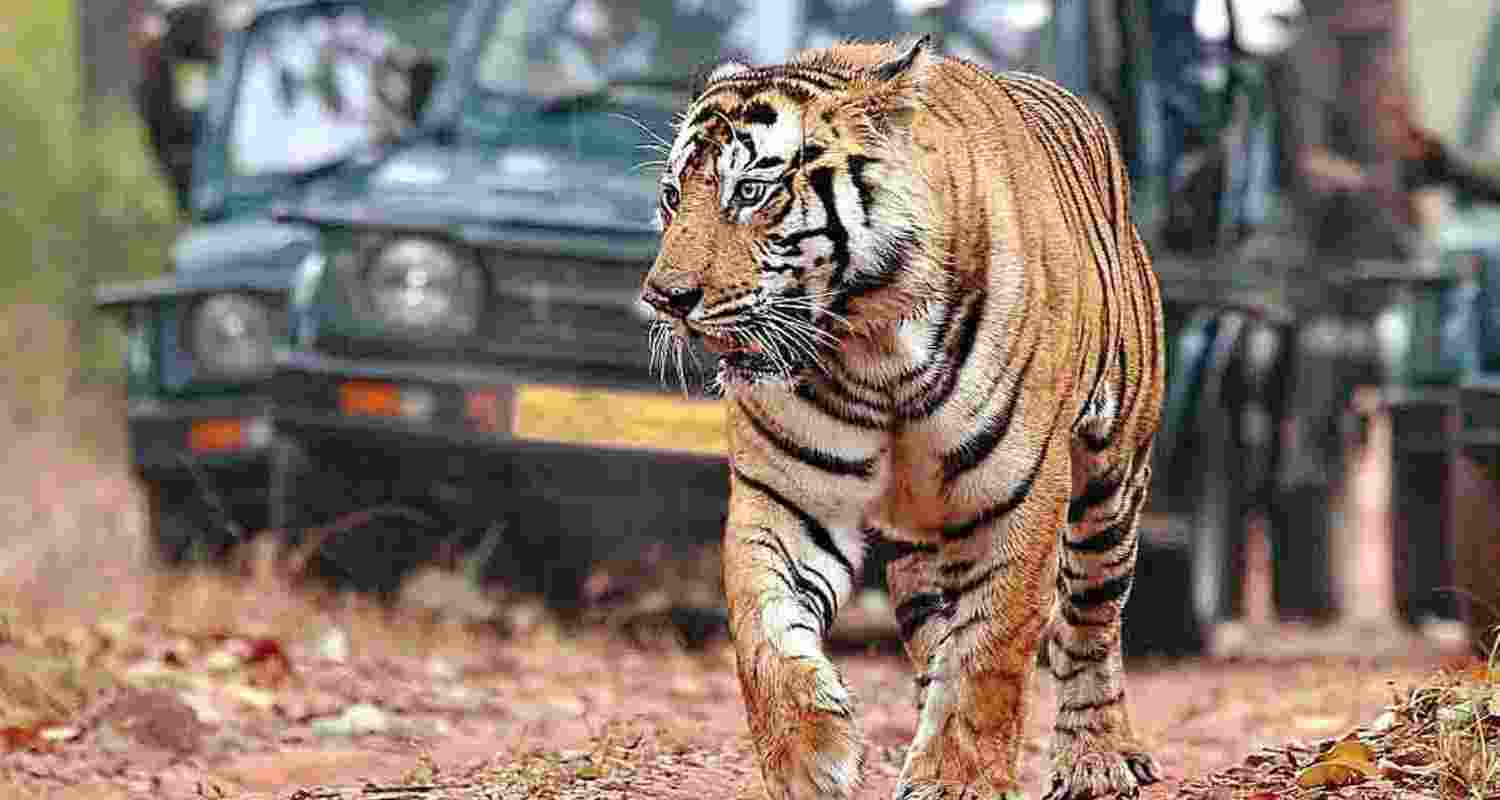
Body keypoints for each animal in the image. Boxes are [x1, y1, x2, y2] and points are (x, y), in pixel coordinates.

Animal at [640, 36, 1165, 800]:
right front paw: (809, 759)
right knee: (928, 616)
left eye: (751, 193)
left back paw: (1096, 757)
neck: (869, 348)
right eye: (674, 196)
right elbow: (764, 631)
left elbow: (990, 653)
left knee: (1092, 620)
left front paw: (959, 779)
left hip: (1111, 482)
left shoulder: (1017, 497)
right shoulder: (788, 497)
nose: (664, 297)